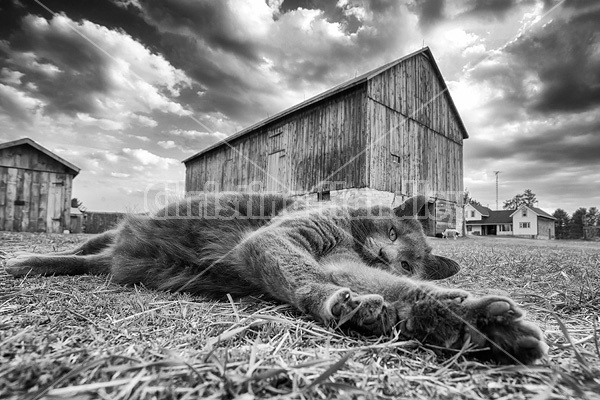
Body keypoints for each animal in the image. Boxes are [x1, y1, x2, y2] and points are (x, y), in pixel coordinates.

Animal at [5, 192, 548, 364]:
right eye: (393, 231)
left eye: (408, 264)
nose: (384, 254)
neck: (353, 239)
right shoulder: (282, 239)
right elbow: (304, 273)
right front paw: (340, 301)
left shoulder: (348, 261)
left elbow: (399, 292)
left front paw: (478, 323)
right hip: (118, 229)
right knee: (82, 249)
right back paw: (25, 259)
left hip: (118, 254)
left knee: (91, 261)